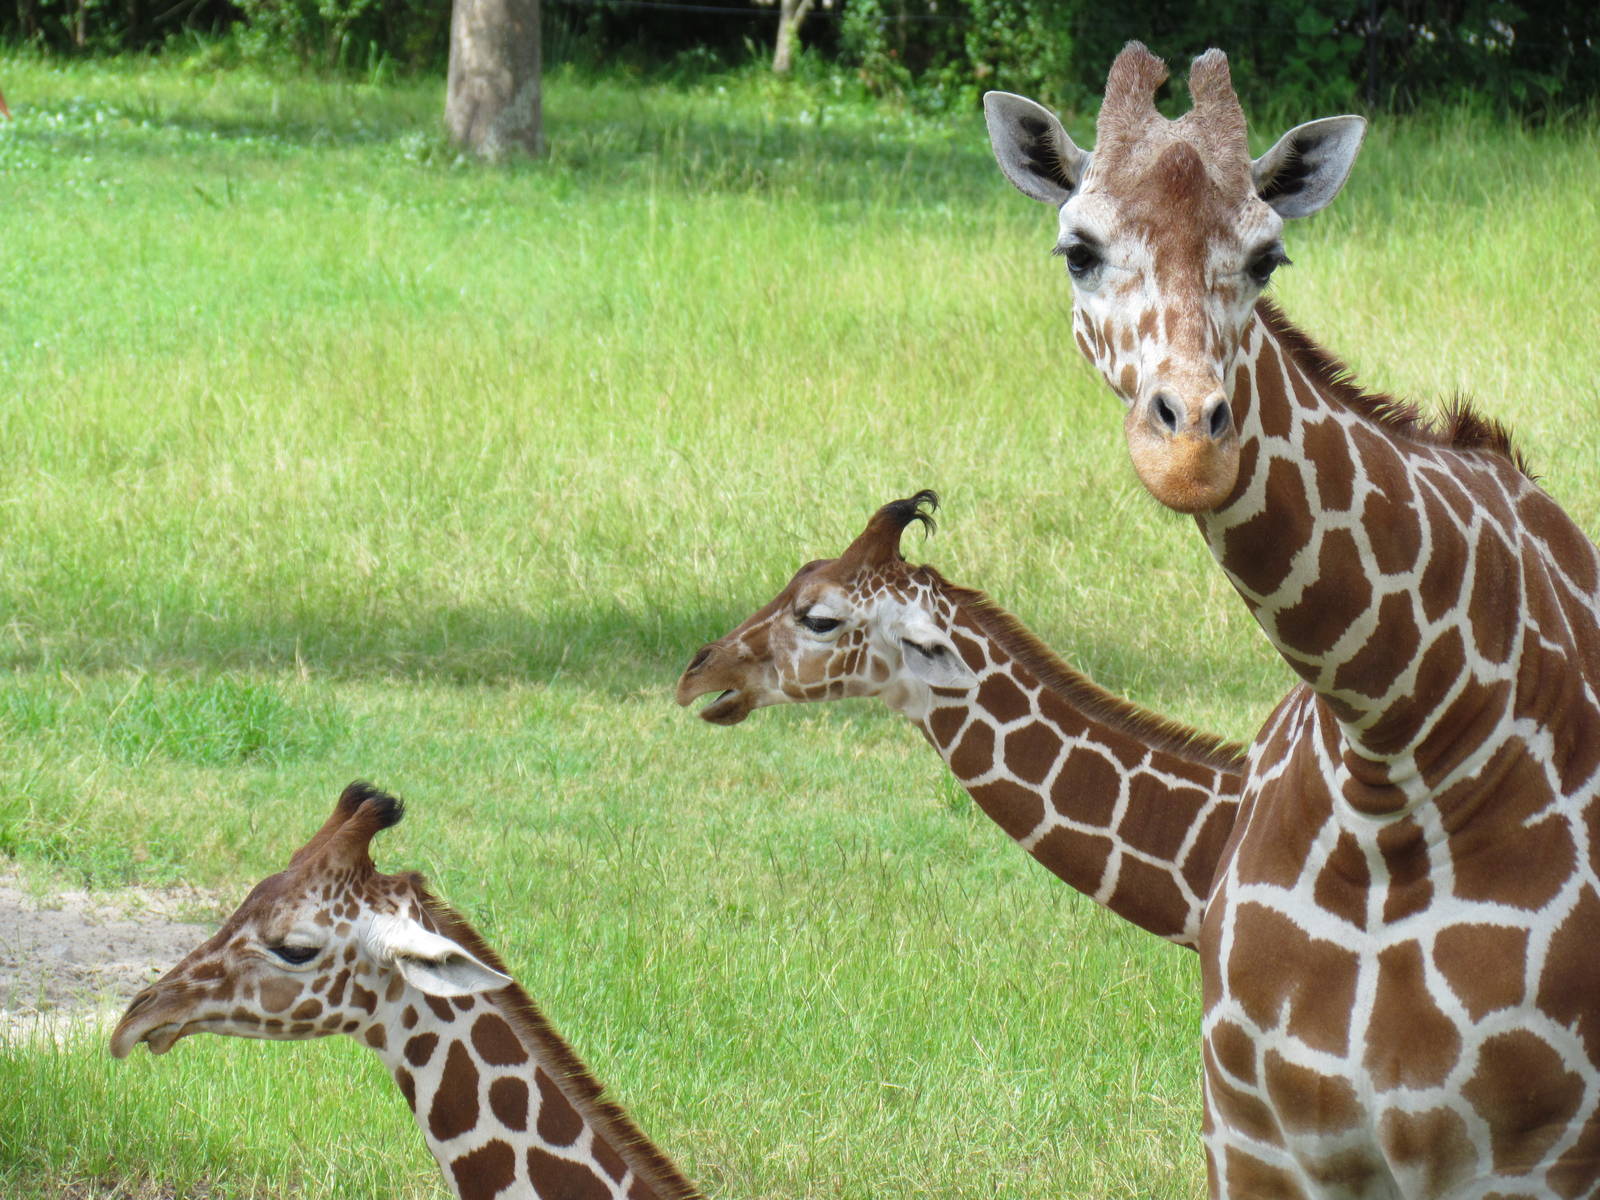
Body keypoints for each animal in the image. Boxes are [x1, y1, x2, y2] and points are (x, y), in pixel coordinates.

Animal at [985, 41, 1600, 1199]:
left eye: (1268, 257)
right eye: (1077, 250)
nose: (1191, 444)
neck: (1399, 739)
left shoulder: (1540, 1156)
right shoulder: (1256, 1140)